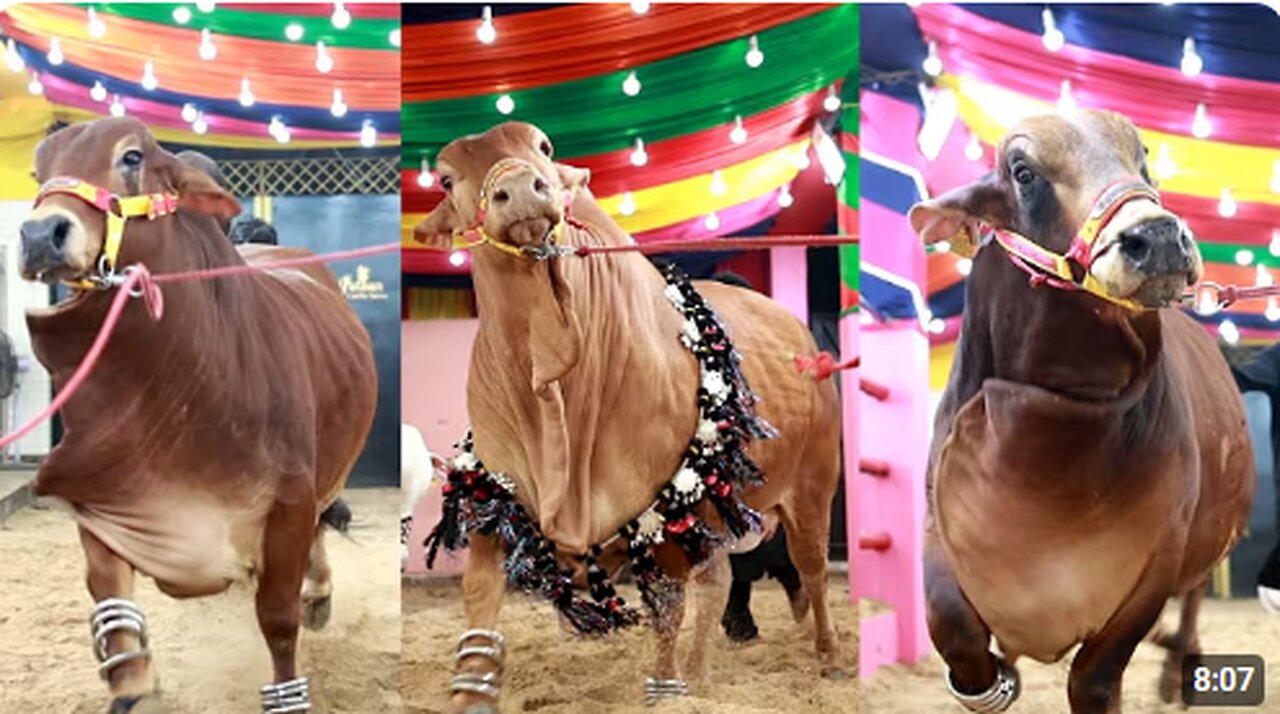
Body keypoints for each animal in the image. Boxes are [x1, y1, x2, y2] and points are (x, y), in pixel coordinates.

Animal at [18, 117, 378, 713]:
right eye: (36, 171)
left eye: (132, 156)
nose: (39, 234)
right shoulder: (104, 498)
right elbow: (113, 607)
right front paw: (134, 688)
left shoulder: (291, 499)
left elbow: (278, 619)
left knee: (322, 531)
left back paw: (319, 592)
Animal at [413, 121, 845, 711]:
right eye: (446, 177)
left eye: (544, 147)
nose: (521, 189)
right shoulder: (494, 498)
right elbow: (479, 601)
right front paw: (469, 692)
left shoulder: (669, 511)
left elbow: (667, 607)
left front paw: (664, 689)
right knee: (721, 581)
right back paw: (702, 674)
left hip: (812, 486)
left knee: (812, 570)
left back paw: (827, 655)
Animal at [907, 109, 1254, 713]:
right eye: (1022, 171)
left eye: (1142, 156)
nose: (1158, 237)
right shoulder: (938, 512)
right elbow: (952, 625)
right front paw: (995, 677)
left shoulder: (1160, 554)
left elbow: (1094, 678)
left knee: (1191, 599)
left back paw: (1178, 667)